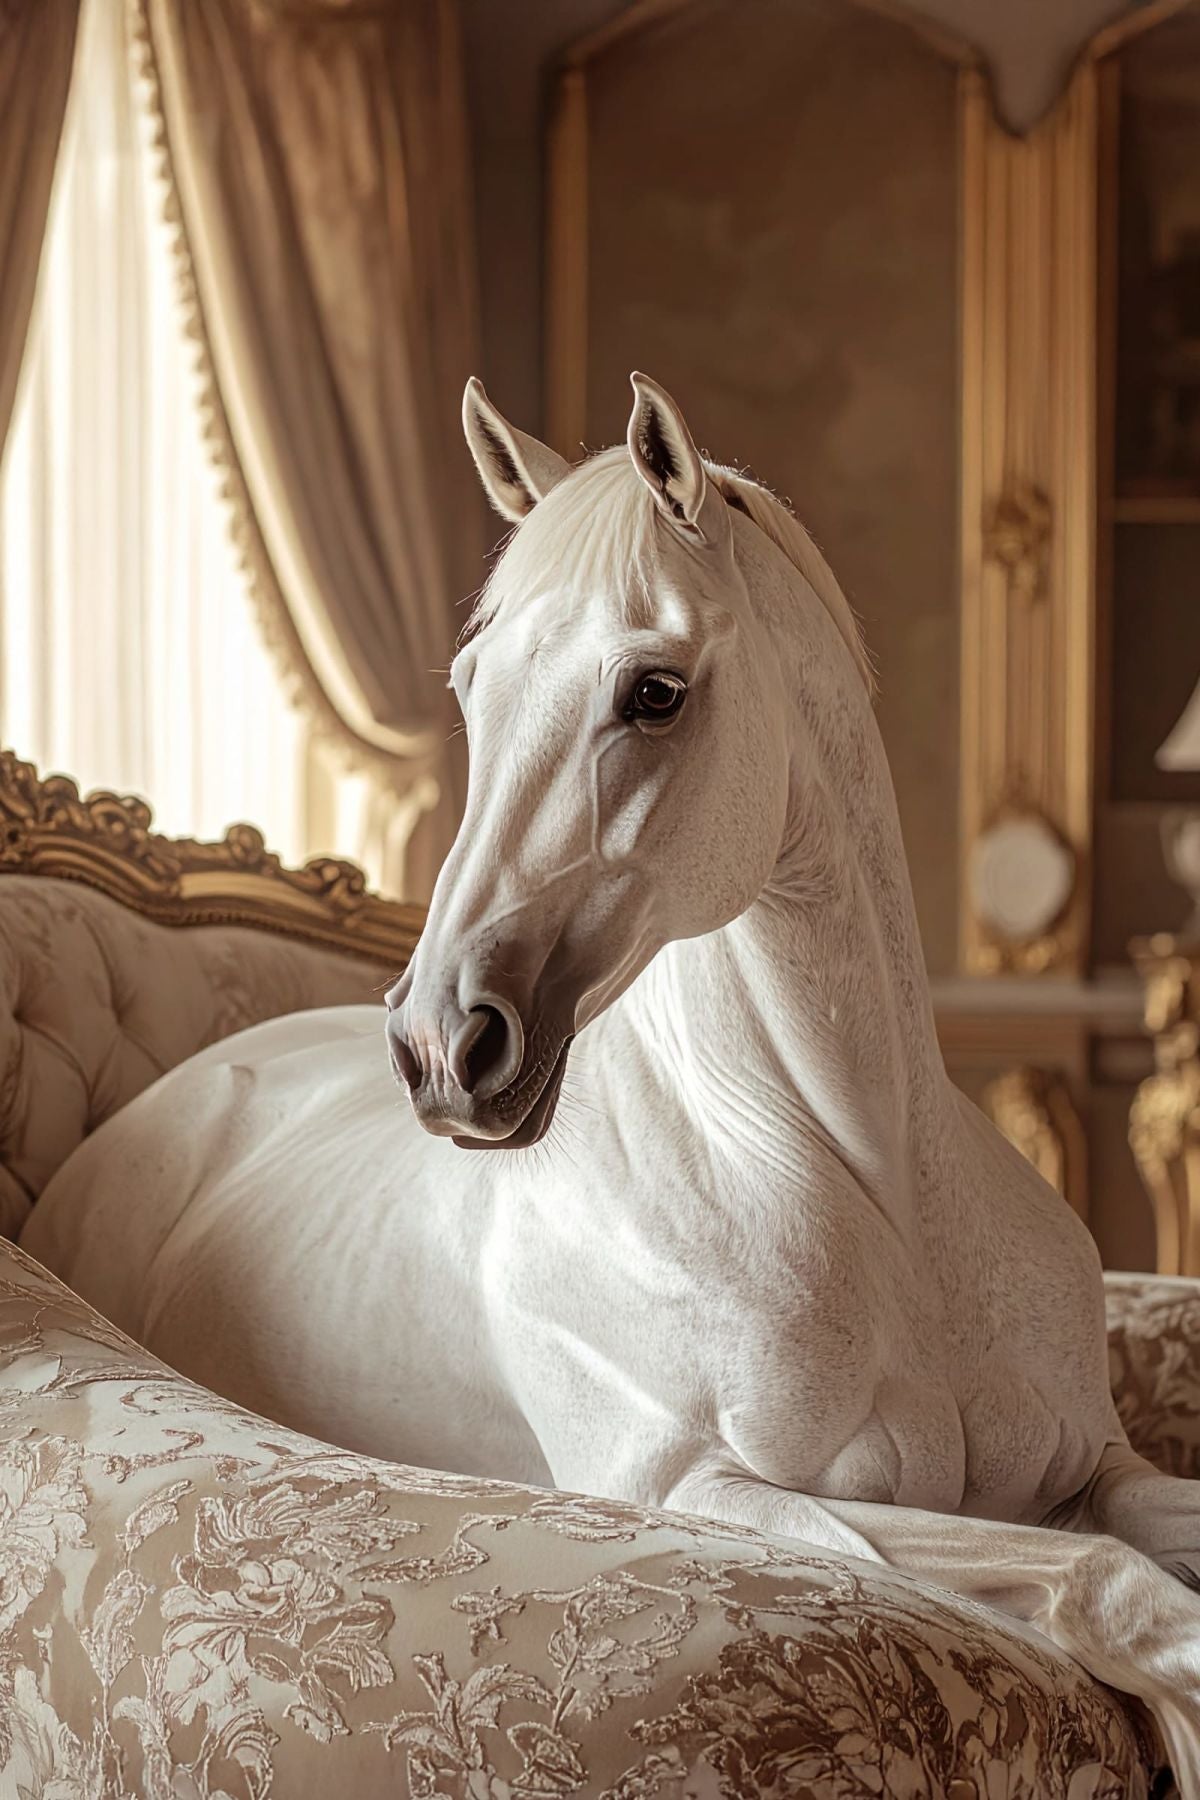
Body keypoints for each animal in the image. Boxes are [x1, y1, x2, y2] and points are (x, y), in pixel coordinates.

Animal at [26, 373, 1200, 1786]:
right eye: (472, 684)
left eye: (655, 692)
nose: (442, 1045)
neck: (872, 1186)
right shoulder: (711, 1491)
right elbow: (1118, 1587)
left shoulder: (1095, 1463)